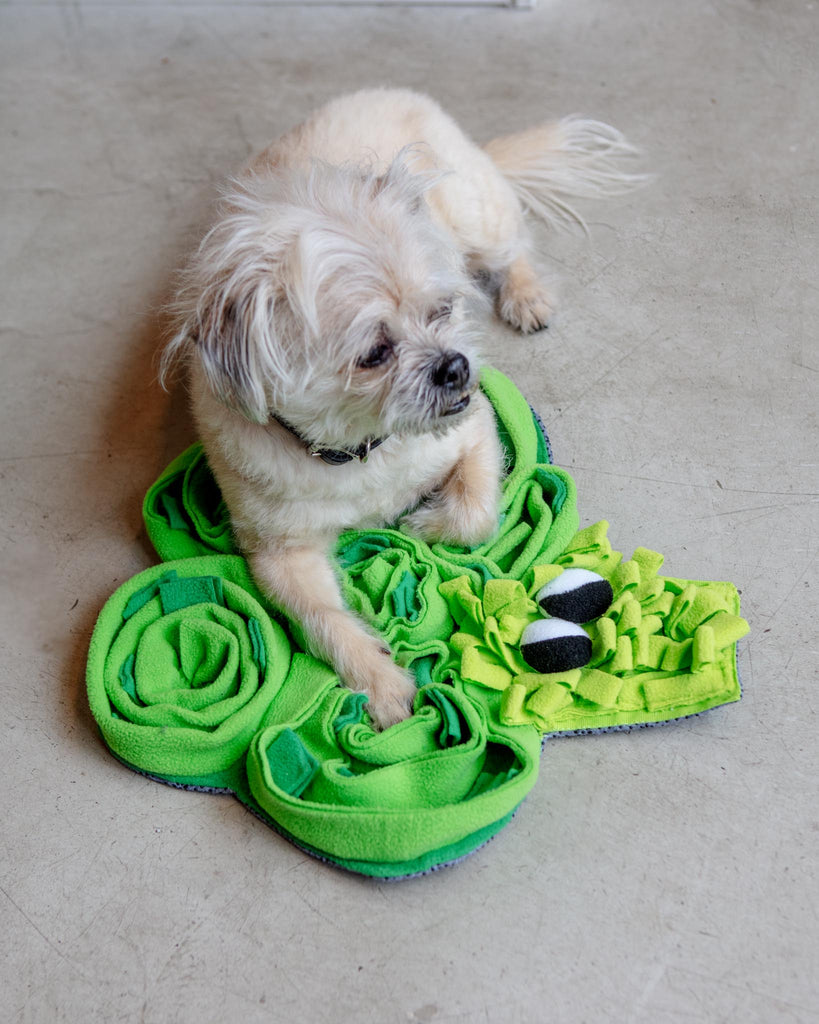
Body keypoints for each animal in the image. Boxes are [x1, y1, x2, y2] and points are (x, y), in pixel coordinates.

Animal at [162, 86, 642, 729]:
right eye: (375, 354)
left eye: (444, 311)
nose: (456, 365)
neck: (361, 450)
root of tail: (393, 94)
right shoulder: (280, 555)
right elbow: (325, 620)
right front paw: (379, 681)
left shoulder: (475, 431)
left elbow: (474, 514)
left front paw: (422, 523)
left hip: (478, 217)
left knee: (513, 245)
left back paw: (525, 294)